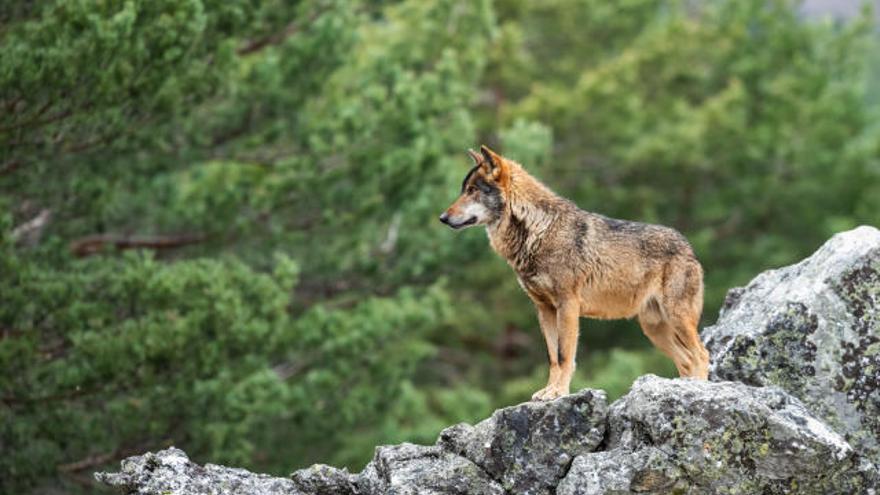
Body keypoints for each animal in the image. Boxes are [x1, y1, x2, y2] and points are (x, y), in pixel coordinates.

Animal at [438, 145, 708, 402]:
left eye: (473, 190)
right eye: (464, 190)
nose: (442, 217)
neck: (538, 230)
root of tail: (689, 247)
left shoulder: (567, 305)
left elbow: (564, 355)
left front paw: (558, 393)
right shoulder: (544, 309)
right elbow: (552, 357)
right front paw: (548, 391)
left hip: (676, 318)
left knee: (701, 355)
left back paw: (700, 390)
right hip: (654, 329)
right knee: (686, 360)